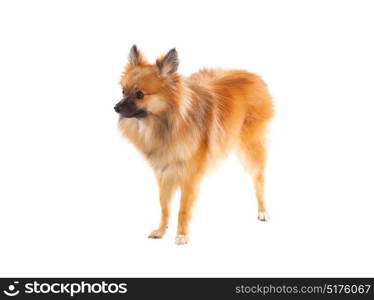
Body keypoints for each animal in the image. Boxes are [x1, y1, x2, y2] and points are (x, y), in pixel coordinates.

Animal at [114, 45, 274, 245]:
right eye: (123, 91)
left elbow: (183, 209)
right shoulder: (165, 174)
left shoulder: (189, 177)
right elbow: (165, 207)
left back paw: (263, 211)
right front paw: (161, 231)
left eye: (139, 94)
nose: (116, 107)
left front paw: (181, 235)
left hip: (251, 148)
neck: (166, 127)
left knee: (259, 180)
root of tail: (254, 77)